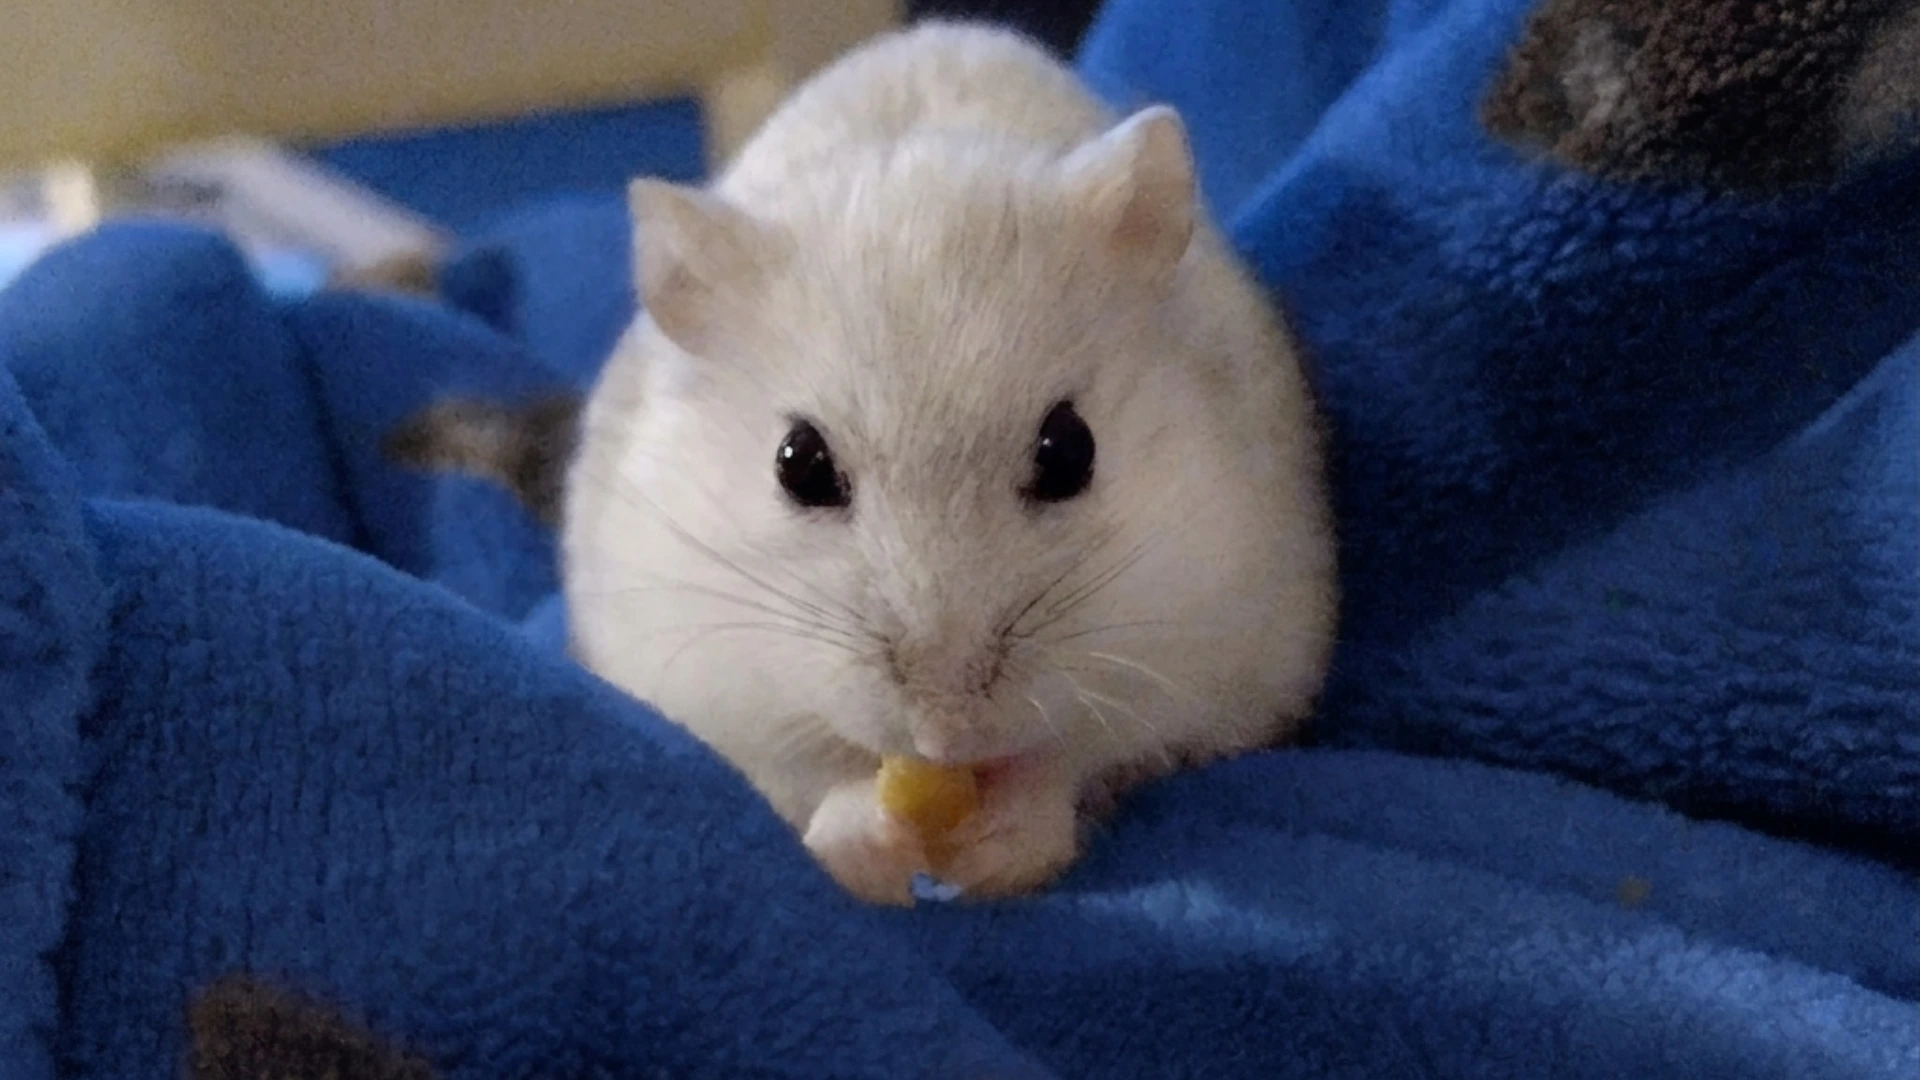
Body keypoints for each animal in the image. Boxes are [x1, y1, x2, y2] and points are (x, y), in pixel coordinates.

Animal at [562, 21, 1338, 905]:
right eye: (799, 464)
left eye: (1070, 451)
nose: (946, 731)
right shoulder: (703, 684)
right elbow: (812, 776)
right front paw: (874, 850)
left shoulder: (1210, 660)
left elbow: (1070, 760)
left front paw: (997, 850)